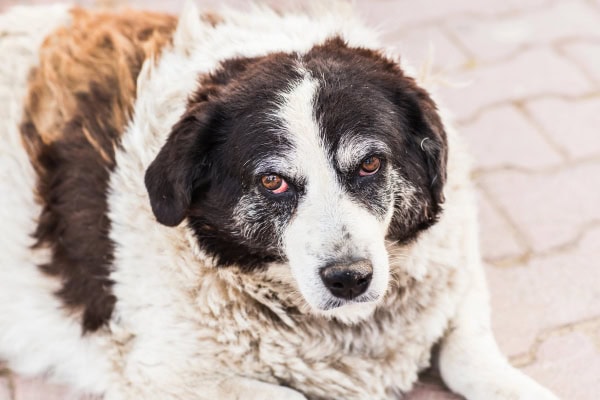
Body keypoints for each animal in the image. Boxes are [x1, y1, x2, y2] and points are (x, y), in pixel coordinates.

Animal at [0, 3, 560, 400]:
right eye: (272, 182)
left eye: (370, 164)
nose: (350, 279)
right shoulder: (161, 371)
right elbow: (289, 395)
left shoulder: (456, 267)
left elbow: (470, 358)